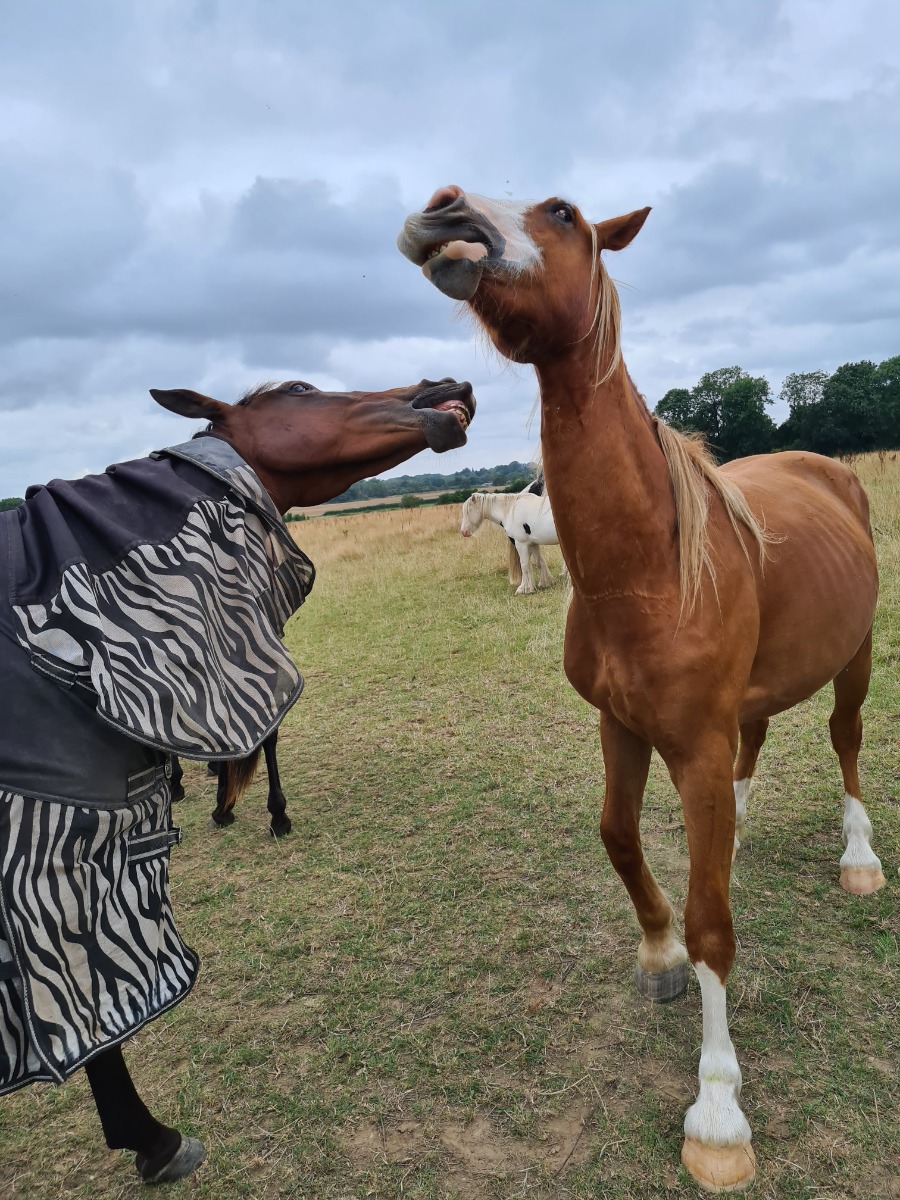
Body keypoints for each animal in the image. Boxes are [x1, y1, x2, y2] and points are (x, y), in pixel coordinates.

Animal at [400, 187, 883, 1190]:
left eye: (561, 212)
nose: (443, 214)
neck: (651, 570)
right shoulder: (619, 727)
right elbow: (619, 837)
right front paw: (657, 951)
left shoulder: (691, 743)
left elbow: (714, 929)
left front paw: (719, 1111)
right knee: (755, 752)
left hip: (854, 658)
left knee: (847, 742)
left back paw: (859, 857)